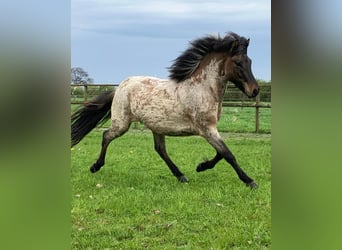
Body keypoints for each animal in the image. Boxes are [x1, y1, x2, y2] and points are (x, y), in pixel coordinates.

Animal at [71, 32, 260, 189]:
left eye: (250, 62)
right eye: (237, 62)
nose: (255, 90)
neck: (202, 88)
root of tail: (119, 87)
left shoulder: (210, 130)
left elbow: (221, 153)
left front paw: (201, 167)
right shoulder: (207, 129)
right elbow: (228, 154)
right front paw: (250, 181)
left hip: (157, 126)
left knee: (160, 149)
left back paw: (181, 176)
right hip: (122, 123)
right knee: (106, 136)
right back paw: (95, 166)